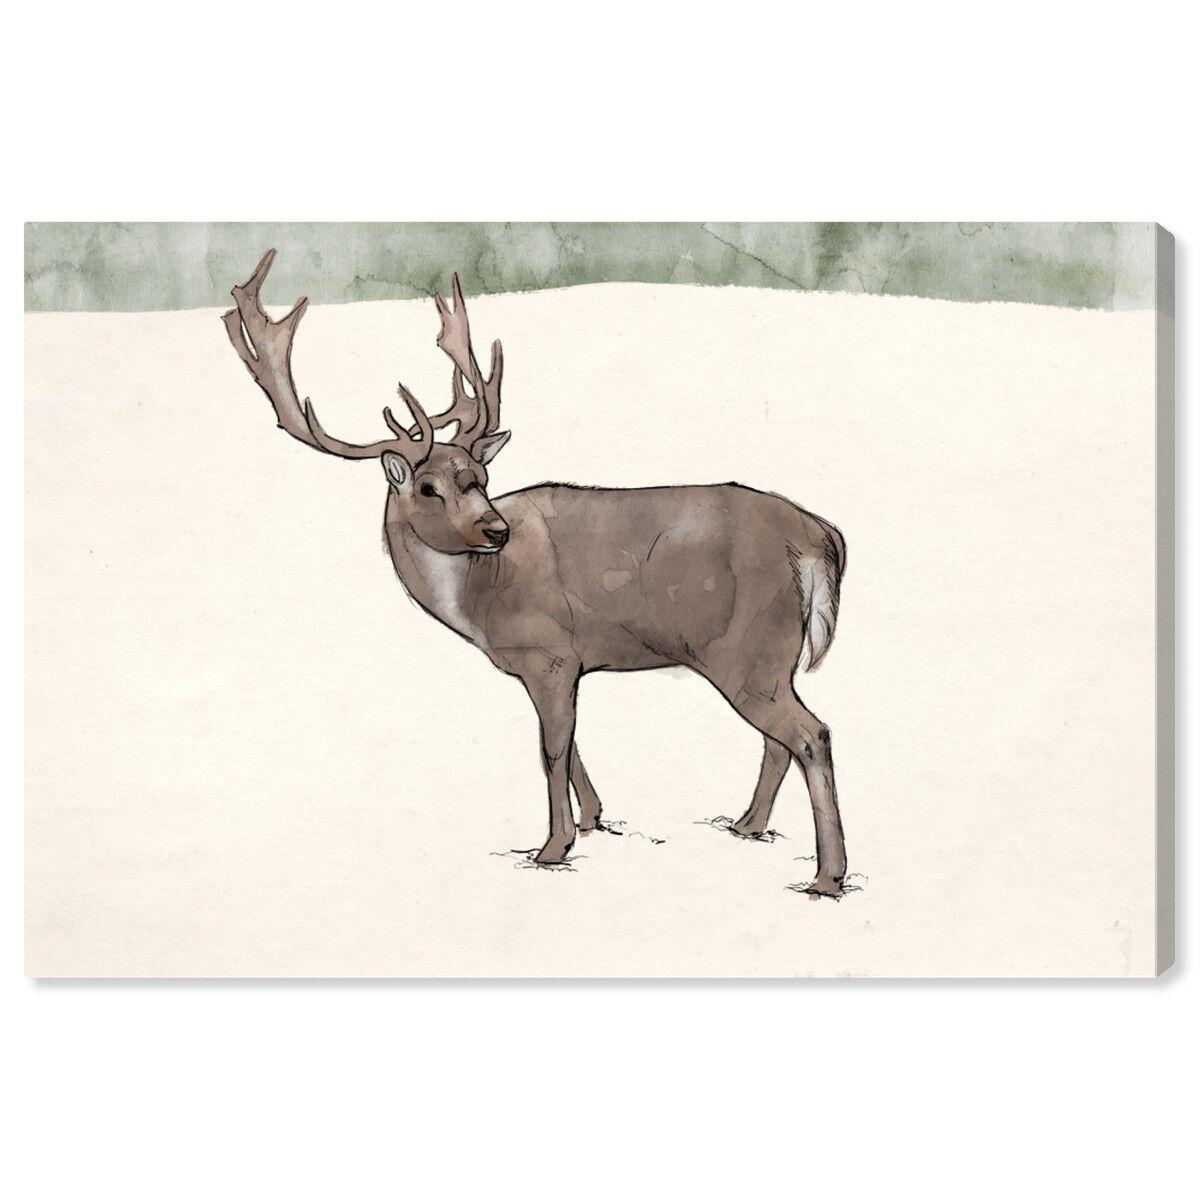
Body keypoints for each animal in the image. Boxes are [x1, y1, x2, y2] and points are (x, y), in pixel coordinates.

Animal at [223, 250, 849, 896]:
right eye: (429, 486)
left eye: (480, 477)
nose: (495, 530)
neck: (480, 600)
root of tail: (822, 536)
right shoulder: (561, 662)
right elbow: (569, 744)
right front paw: (594, 818)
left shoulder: (548, 652)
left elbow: (551, 748)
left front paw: (552, 846)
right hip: (765, 657)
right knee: (782, 739)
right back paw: (747, 825)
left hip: (748, 646)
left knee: (811, 733)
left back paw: (827, 875)